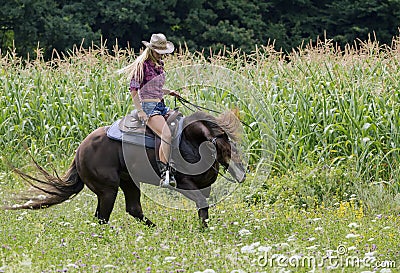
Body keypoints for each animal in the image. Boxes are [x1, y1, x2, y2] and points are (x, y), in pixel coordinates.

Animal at [6, 109, 245, 226]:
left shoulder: (204, 186)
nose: (242, 175)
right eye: (227, 146)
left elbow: (203, 208)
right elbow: (202, 204)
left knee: (133, 209)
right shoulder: (184, 184)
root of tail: (80, 150)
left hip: (129, 182)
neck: (189, 140)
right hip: (108, 190)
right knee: (102, 217)